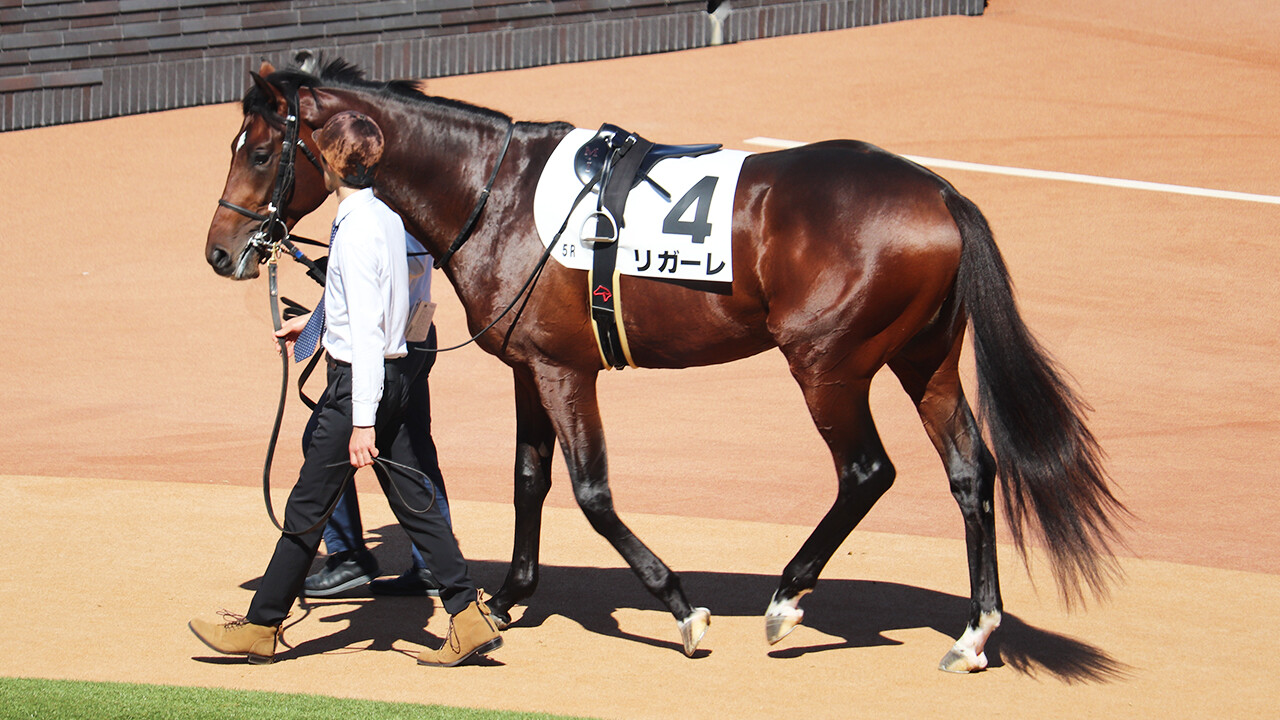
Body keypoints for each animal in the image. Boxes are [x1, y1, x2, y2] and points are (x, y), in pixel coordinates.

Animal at [204, 58, 1126, 671]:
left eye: (259, 150)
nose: (220, 252)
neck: (495, 196)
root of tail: (940, 192)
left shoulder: (566, 371)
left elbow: (591, 493)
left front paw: (681, 608)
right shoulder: (528, 367)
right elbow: (528, 480)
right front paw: (504, 597)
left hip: (828, 364)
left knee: (867, 471)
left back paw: (786, 602)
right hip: (922, 358)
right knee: (971, 469)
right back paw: (974, 632)